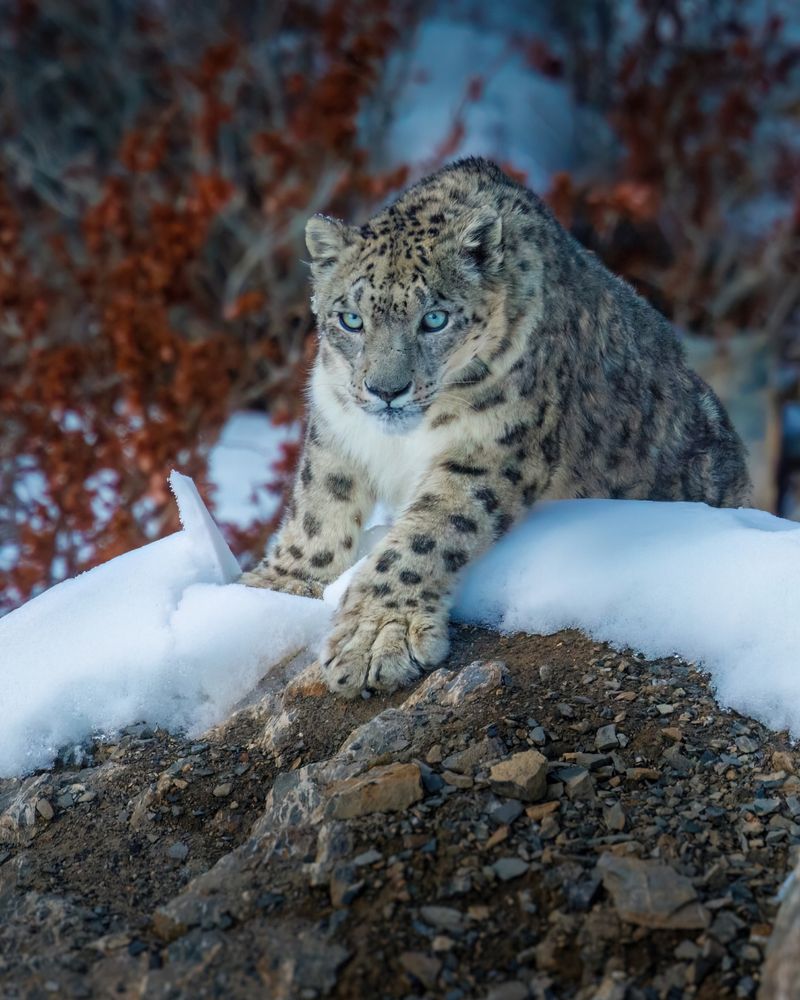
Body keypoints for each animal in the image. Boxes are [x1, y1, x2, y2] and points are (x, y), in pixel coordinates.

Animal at [242, 160, 752, 700]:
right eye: (351, 319)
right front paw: (274, 587)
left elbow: (425, 537)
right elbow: (318, 510)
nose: (386, 390)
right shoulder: (337, 427)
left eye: (435, 318)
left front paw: (376, 637)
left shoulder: (489, 448)